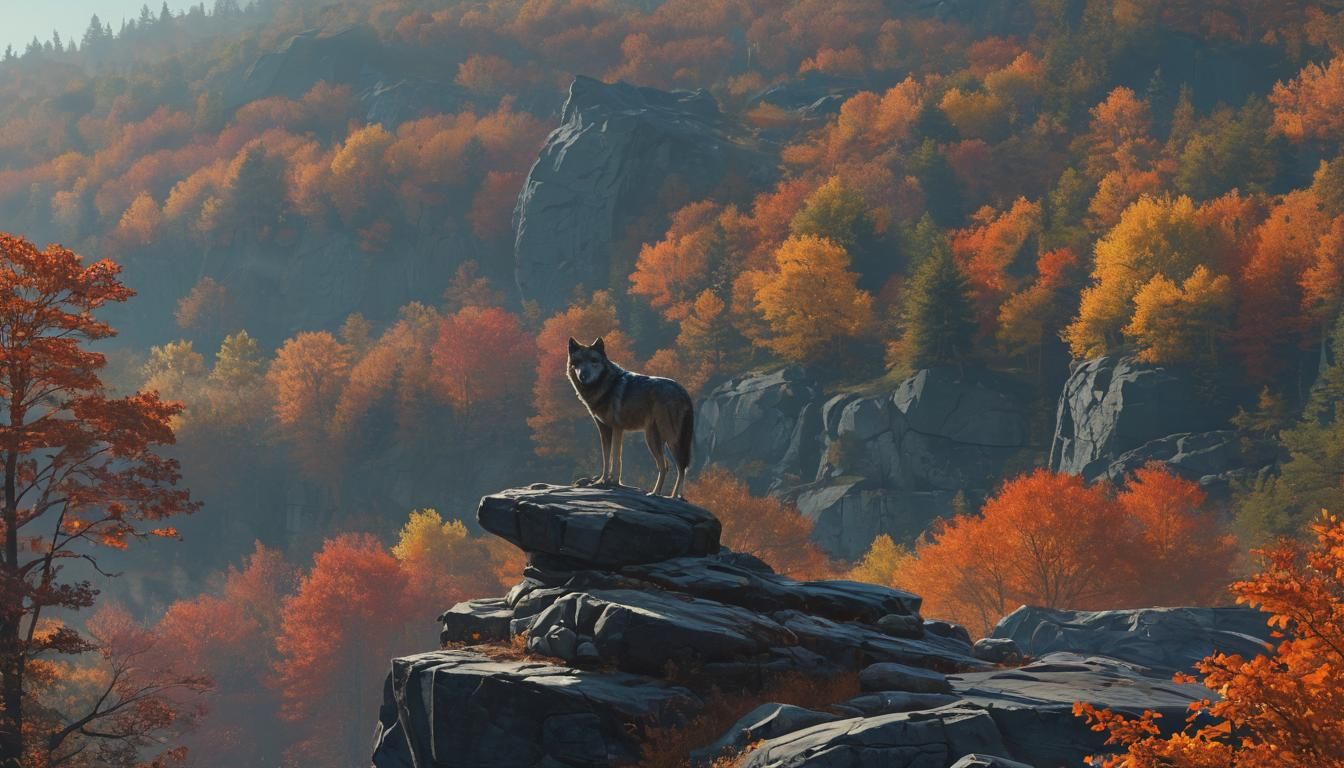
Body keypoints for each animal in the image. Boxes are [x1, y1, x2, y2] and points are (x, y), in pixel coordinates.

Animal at [567, 336, 695, 498]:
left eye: (593, 360)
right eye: (577, 362)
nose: (583, 376)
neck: (606, 386)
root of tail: (684, 391)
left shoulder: (617, 429)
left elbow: (616, 458)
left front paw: (613, 482)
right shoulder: (604, 430)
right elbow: (607, 459)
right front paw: (602, 481)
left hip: (668, 439)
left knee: (679, 467)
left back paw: (668, 496)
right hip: (654, 438)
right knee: (666, 465)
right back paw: (657, 493)